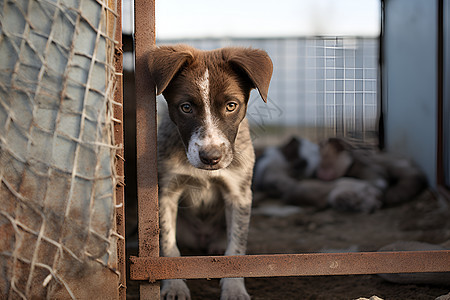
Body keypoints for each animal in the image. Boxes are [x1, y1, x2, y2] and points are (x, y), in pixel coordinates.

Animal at [149, 44, 272, 300]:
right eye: (186, 107)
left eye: (231, 105)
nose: (211, 157)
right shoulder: (166, 193)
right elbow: (168, 244)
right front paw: (174, 286)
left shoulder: (239, 194)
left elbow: (236, 247)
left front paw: (234, 289)